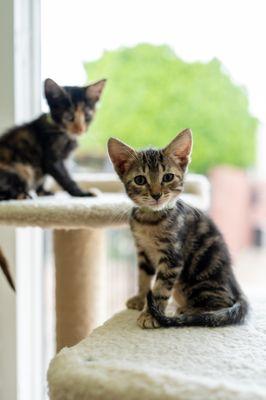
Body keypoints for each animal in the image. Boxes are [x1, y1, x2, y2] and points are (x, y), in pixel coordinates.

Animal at [107, 129, 248, 328]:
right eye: (140, 180)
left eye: (168, 177)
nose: (156, 194)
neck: (150, 221)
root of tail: (235, 286)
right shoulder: (142, 250)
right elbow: (143, 277)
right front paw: (140, 298)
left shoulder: (172, 257)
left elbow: (160, 288)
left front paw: (150, 314)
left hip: (199, 280)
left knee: (220, 304)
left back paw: (189, 311)